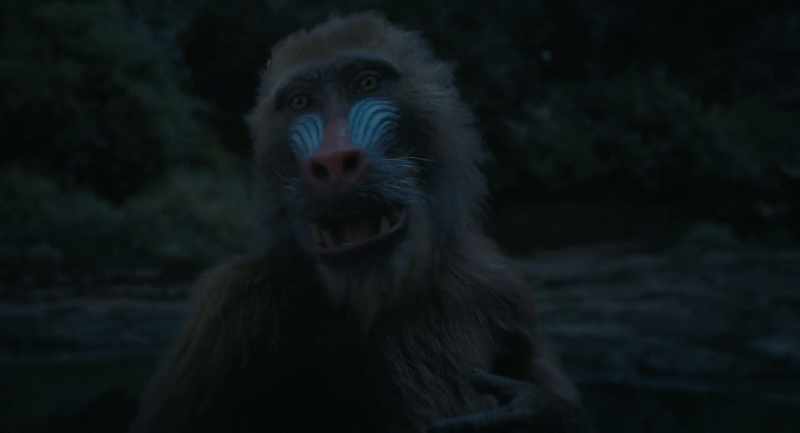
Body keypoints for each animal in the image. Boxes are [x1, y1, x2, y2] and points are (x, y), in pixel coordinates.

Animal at [131, 12, 587, 433]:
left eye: (366, 83)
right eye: (301, 103)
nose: (333, 162)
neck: (380, 299)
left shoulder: (498, 288)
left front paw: (537, 409)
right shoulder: (228, 312)